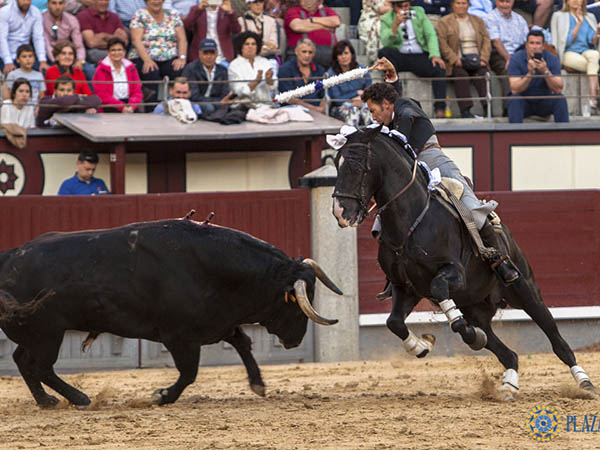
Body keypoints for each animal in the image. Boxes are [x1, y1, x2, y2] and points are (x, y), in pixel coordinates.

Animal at [0, 218, 343, 408]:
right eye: (295, 302)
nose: (295, 340)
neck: (212, 267)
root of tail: (9, 256)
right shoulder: (180, 337)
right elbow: (189, 372)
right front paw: (161, 396)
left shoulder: (219, 324)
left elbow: (243, 343)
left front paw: (258, 384)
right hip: (49, 332)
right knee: (41, 366)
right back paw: (80, 399)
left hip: (33, 333)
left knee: (24, 361)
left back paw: (47, 401)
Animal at [331, 125, 595, 398]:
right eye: (336, 164)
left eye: (358, 166)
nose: (340, 212)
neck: (412, 219)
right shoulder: (406, 286)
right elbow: (394, 322)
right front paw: (422, 346)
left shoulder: (454, 274)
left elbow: (441, 294)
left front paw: (461, 332)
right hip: (475, 307)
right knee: (506, 352)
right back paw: (508, 383)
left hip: (526, 292)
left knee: (556, 339)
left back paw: (584, 382)